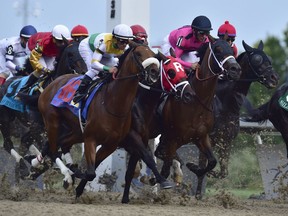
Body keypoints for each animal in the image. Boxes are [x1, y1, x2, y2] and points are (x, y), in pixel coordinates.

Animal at [36, 41, 160, 187]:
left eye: (153, 54)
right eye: (139, 54)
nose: (154, 72)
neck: (112, 103)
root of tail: (53, 83)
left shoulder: (111, 144)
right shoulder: (91, 139)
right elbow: (90, 173)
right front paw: (77, 174)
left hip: (77, 130)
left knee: (63, 144)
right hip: (52, 121)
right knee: (54, 150)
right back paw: (65, 174)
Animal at [152, 39, 242, 199]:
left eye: (232, 51)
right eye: (218, 49)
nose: (235, 69)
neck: (197, 102)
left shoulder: (202, 137)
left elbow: (211, 162)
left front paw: (193, 167)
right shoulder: (173, 137)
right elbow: (166, 166)